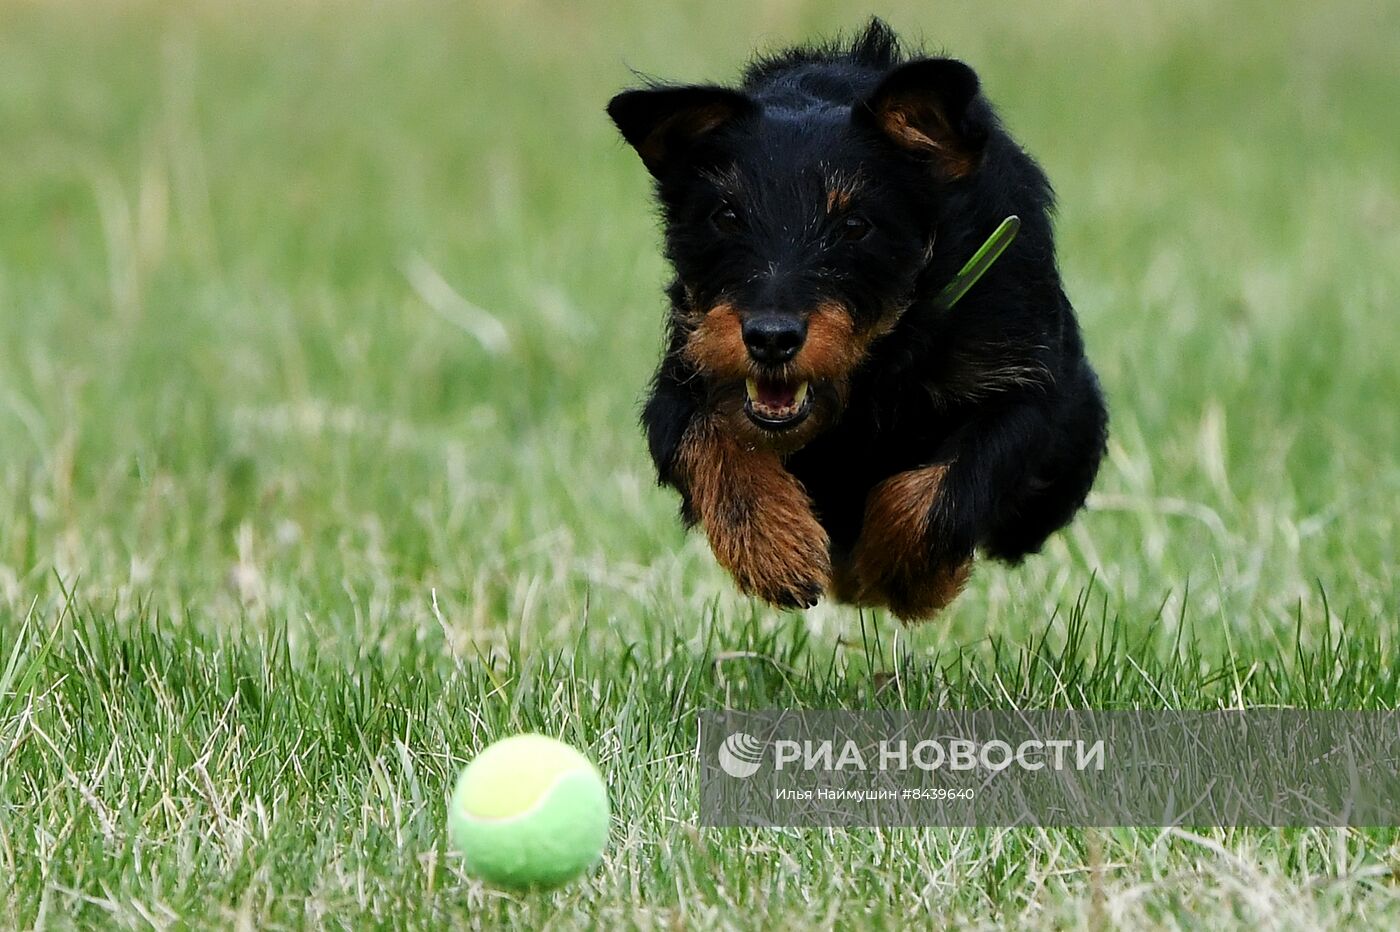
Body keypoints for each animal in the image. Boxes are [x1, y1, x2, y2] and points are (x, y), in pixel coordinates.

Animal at [607, 19, 1108, 615]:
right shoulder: (684, 374)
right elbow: (705, 438)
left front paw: (900, 574)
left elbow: (958, 476)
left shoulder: (1028, 384)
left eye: (855, 226)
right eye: (725, 216)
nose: (770, 338)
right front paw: (775, 549)